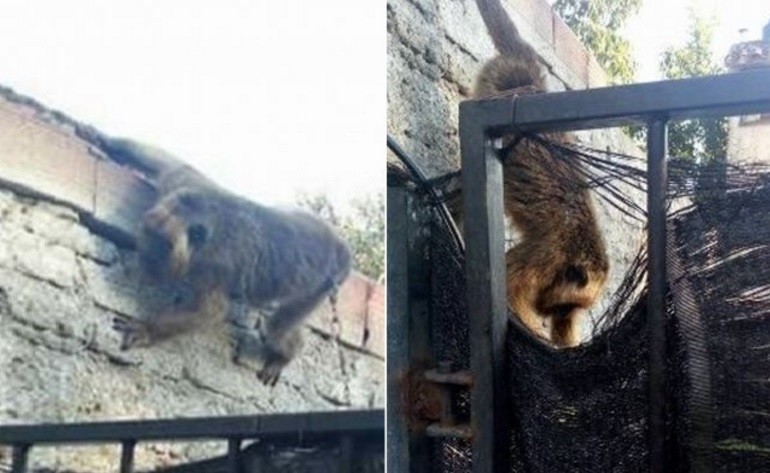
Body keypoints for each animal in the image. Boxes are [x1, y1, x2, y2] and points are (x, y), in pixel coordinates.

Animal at [95, 137, 353, 386]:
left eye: (163, 246)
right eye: (149, 236)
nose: (148, 261)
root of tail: (341, 249)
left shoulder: (214, 264)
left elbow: (211, 310)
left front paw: (147, 329)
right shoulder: (181, 187)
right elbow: (172, 163)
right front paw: (100, 138)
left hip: (321, 286)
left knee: (277, 328)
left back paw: (285, 355)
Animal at [469, 0, 610, 347]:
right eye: (568, 304)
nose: (560, 316)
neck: (578, 246)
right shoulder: (549, 253)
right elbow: (509, 286)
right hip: (499, 79)